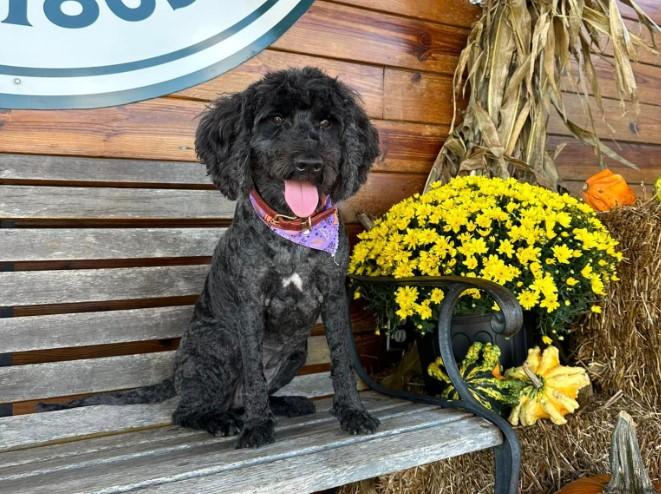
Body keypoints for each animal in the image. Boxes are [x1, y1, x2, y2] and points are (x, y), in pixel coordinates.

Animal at [41, 67, 378, 450]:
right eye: (276, 119)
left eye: (326, 122)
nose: (310, 164)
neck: (294, 228)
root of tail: (175, 376)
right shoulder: (249, 304)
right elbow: (254, 373)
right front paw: (258, 428)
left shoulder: (334, 295)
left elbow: (341, 360)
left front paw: (353, 412)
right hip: (219, 343)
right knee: (190, 410)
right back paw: (221, 420)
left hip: (296, 352)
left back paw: (285, 404)